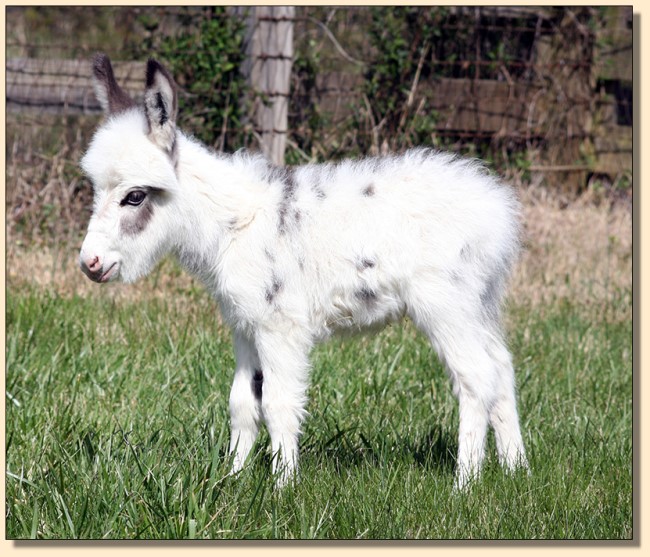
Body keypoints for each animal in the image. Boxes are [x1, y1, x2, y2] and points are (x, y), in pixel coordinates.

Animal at [79, 53, 528, 486]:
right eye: (96, 190)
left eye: (135, 197)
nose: (89, 264)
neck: (232, 225)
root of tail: (496, 206)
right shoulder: (245, 326)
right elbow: (242, 403)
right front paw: (231, 481)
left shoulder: (280, 328)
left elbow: (279, 403)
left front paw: (283, 488)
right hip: (479, 304)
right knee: (502, 369)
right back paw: (516, 472)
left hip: (445, 305)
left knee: (476, 377)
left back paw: (465, 483)